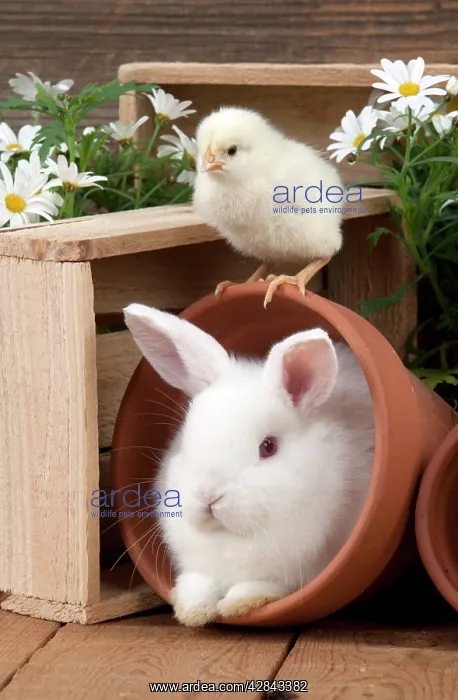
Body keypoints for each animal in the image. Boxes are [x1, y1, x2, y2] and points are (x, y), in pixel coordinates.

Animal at [124, 303, 375, 627]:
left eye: (268, 447)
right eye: (186, 439)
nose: (208, 496)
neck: (232, 538)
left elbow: (265, 586)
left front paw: (237, 604)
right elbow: (197, 583)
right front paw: (192, 610)